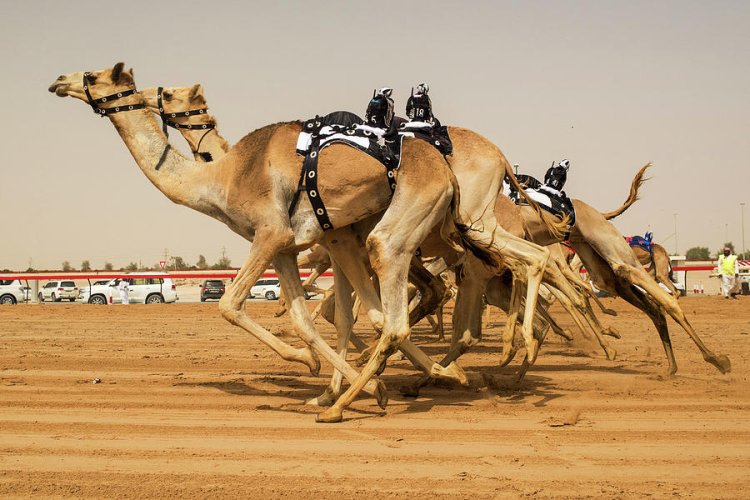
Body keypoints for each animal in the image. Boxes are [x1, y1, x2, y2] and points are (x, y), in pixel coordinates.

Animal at [54, 63, 564, 422]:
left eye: (94, 75)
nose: (59, 80)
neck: (222, 178)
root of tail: (497, 156)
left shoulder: (275, 234)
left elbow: (236, 305)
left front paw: (331, 378)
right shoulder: (301, 245)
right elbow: (314, 317)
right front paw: (337, 382)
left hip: (436, 228)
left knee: (479, 286)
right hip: (454, 233)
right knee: (501, 278)